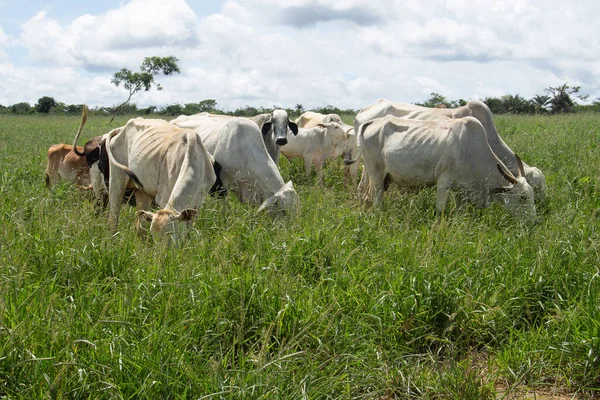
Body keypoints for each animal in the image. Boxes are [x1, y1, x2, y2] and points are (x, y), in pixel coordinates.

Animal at [344, 115, 536, 222]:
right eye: (522, 197)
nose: (534, 222)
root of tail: (373, 121)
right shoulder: (444, 182)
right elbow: (440, 210)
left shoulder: (462, 190)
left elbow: (460, 212)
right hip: (375, 174)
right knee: (377, 201)